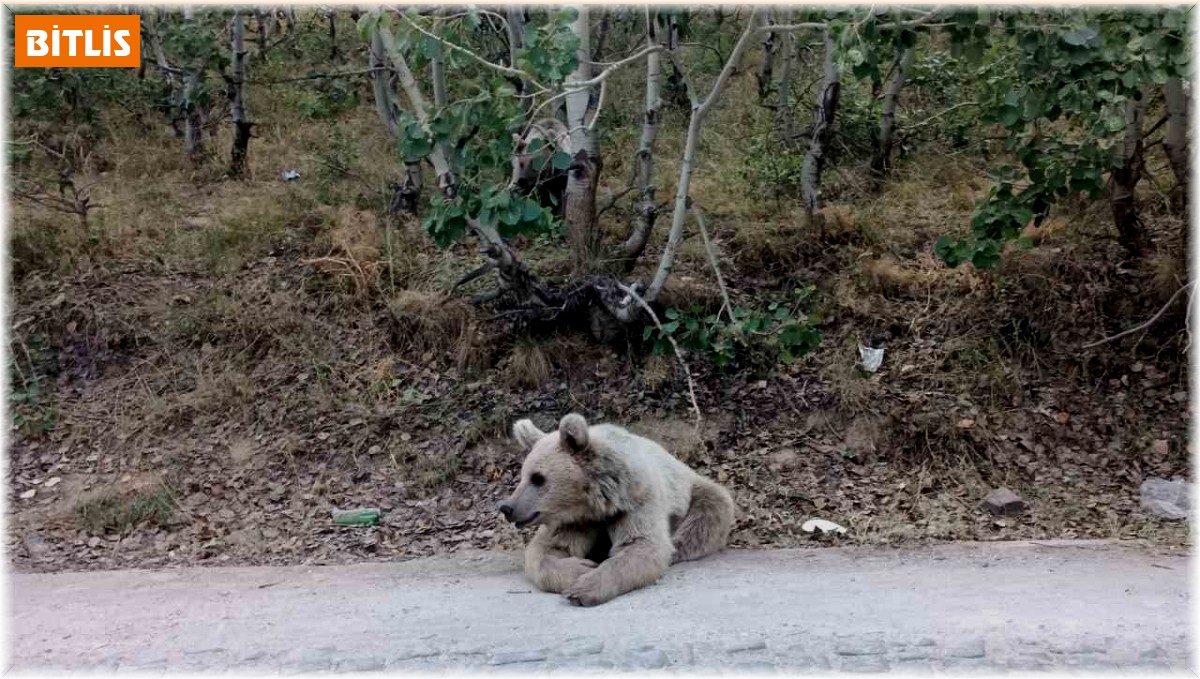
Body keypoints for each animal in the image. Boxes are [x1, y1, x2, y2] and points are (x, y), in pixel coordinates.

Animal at [494, 412, 729, 609]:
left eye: (538, 478)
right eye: (523, 475)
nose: (507, 508)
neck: (593, 502)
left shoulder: (635, 500)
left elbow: (642, 545)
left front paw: (583, 588)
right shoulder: (572, 520)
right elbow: (546, 549)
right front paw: (582, 567)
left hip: (692, 491)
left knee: (708, 514)